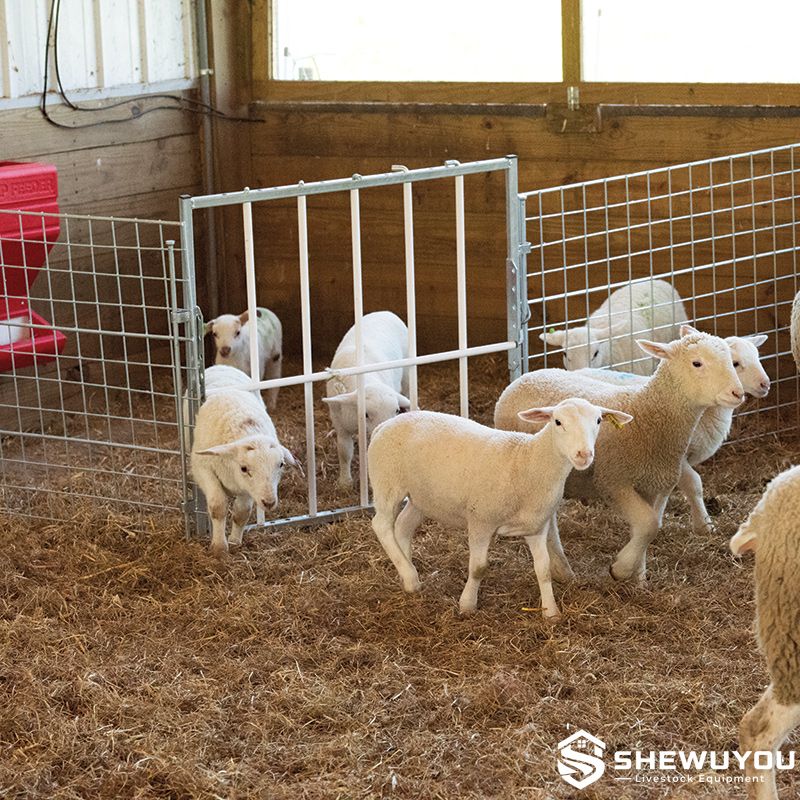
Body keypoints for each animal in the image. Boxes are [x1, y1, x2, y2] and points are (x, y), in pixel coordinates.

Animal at [190, 367, 299, 557]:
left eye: (281, 465)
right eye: (244, 468)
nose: (269, 503)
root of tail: (221, 366)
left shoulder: (248, 489)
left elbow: (241, 513)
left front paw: (234, 542)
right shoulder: (202, 468)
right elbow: (218, 506)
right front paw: (219, 548)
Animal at [323, 311, 411, 488]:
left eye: (397, 411)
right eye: (366, 414)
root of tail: (386, 312)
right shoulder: (339, 423)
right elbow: (344, 451)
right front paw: (345, 482)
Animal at [367, 399, 633, 620]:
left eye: (598, 421)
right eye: (558, 422)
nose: (584, 454)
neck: (527, 461)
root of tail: (384, 425)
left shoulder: (536, 527)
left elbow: (544, 569)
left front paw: (551, 612)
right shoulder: (481, 521)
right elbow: (478, 568)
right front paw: (467, 605)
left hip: (422, 497)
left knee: (403, 526)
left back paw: (406, 571)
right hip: (388, 483)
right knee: (381, 525)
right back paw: (411, 577)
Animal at [494, 326, 744, 583]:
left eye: (731, 361)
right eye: (697, 363)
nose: (738, 393)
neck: (647, 415)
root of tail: (523, 378)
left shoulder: (649, 485)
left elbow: (648, 527)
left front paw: (639, 576)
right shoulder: (613, 481)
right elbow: (649, 524)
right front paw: (621, 568)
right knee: (549, 522)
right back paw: (563, 570)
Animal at [578, 333, 770, 533]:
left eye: (757, 356)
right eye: (736, 363)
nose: (765, 384)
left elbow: (665, 491)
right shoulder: (677, 456)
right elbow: (693, 483)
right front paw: (704, 525)